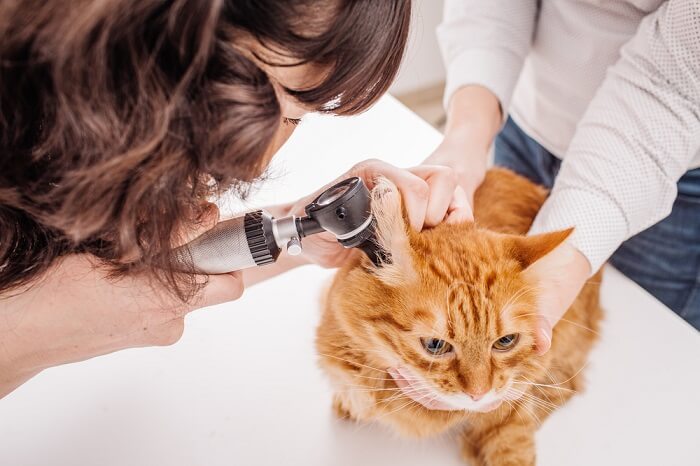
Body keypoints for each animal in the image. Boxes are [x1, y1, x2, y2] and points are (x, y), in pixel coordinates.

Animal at [318, 168, 600, 466]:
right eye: (435, 345)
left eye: (506, 341)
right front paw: (350, 405)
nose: (478, 395)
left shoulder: (516, 398)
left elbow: (512, 446)